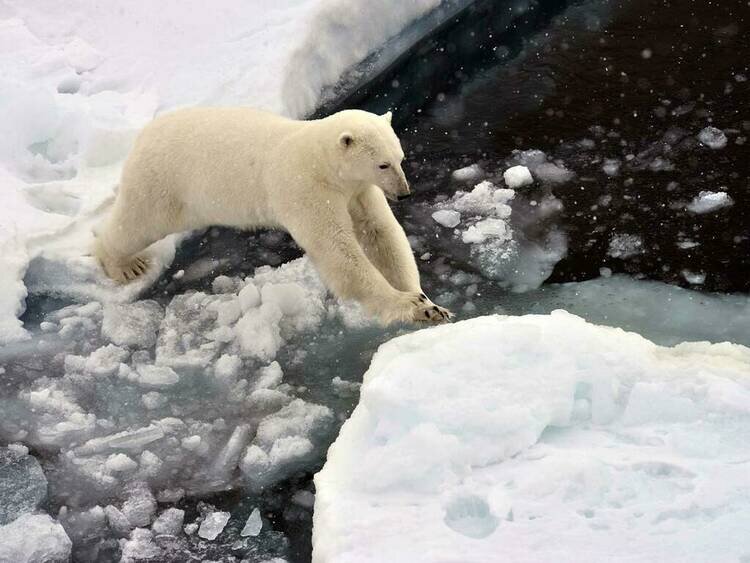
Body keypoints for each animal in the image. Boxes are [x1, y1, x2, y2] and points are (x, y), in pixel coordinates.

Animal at [91, 107, 450, 324]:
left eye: (400, 158)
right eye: (382, 164)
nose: (404, 193)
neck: (319, 161)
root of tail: (142, 135)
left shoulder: (358, 192)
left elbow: (381, 235)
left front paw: (429, 302)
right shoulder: (306, 191)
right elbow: (338, 252)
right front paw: (410, 306)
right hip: (165, 183)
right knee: (138, 222)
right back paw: (124, 265)